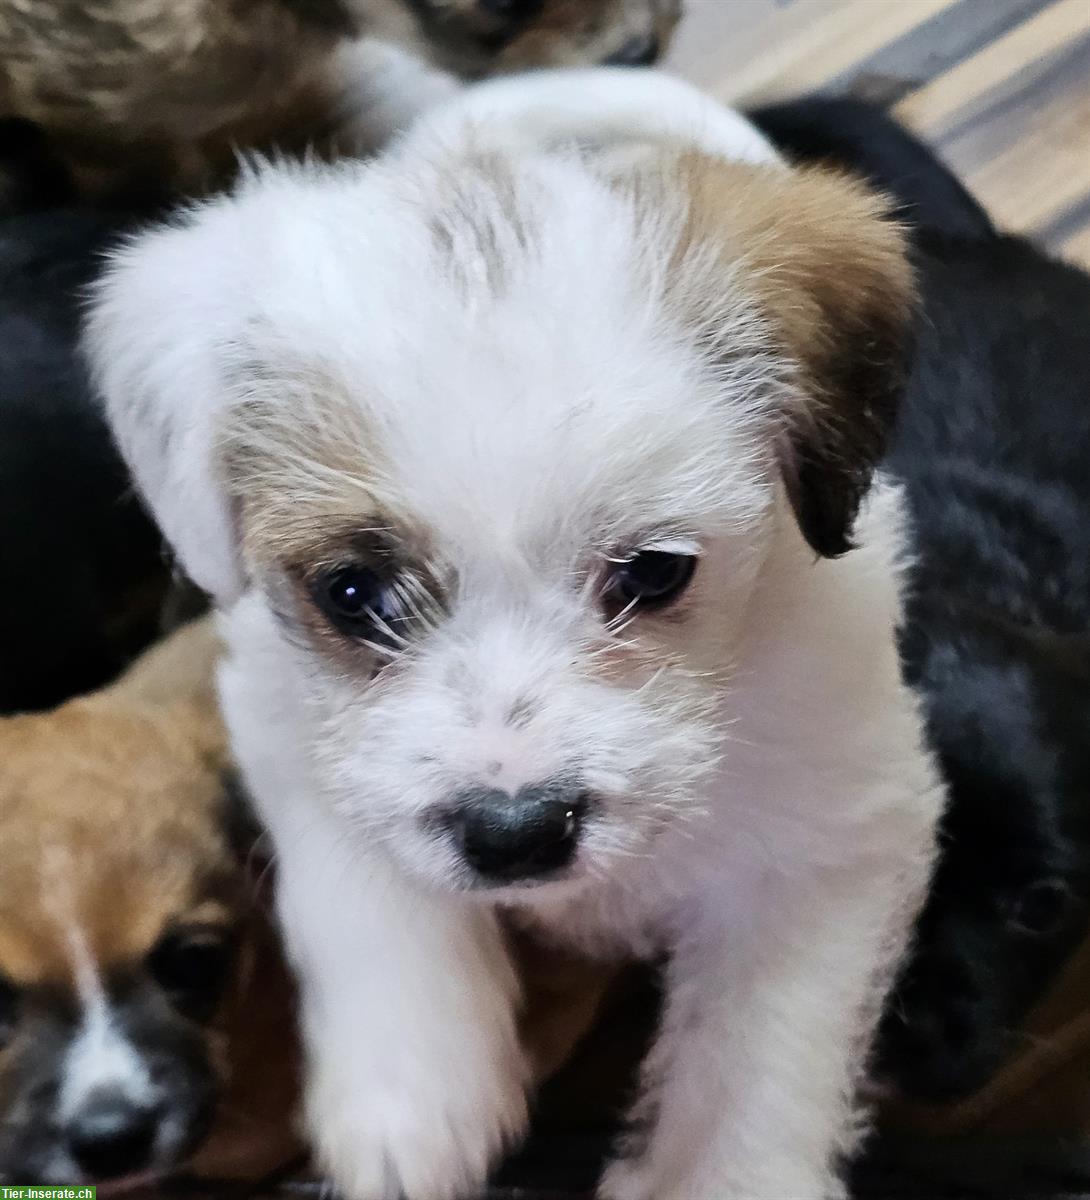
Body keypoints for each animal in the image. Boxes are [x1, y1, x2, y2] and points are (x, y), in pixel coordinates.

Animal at [91, 68, 945, 1200]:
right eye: (353, 591)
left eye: (654, 572)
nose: (515, 834)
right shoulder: (287, 726)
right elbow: (368, 892)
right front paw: (413, 1102)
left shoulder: (831, 844)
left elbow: (755, 1059)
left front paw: (716, 1171)